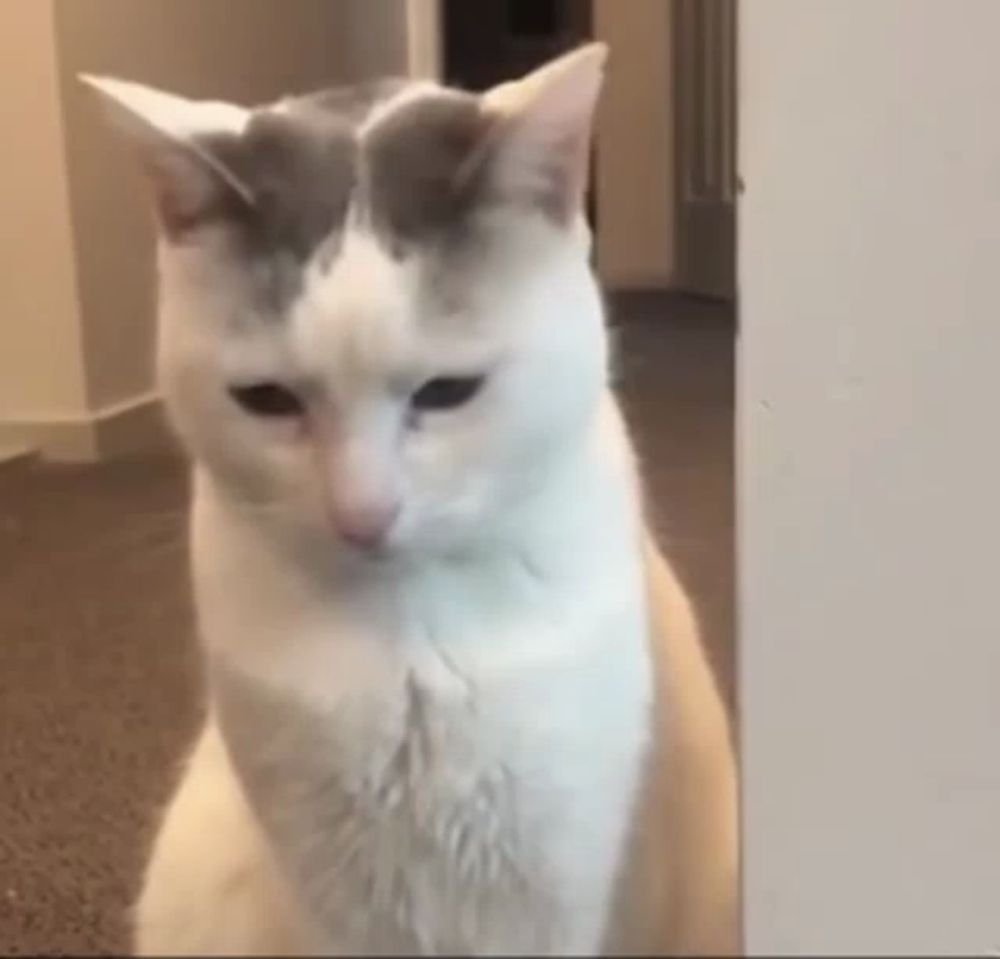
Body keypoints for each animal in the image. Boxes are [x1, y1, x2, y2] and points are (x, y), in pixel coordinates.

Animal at [86, 47, 740, 959]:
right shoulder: (333, 898)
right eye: (266, 399)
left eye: (448, 391)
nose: (362, 514)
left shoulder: (547, 883)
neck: (408, 652)